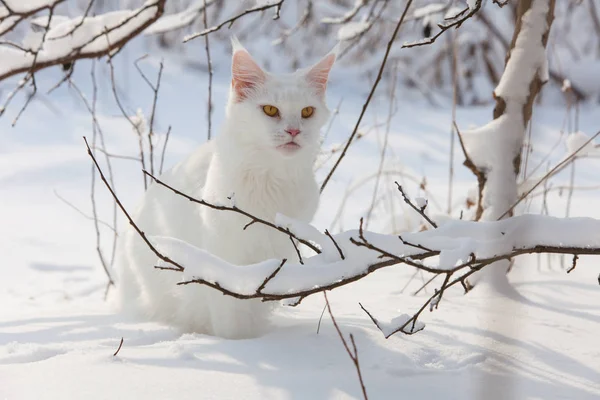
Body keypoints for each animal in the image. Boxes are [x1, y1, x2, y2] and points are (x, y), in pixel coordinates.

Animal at [115, 38, 336, 338]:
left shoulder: (276, 254)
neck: (271, 179)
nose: (294, 131)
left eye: (307, 112)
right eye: (270, 110)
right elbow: (230, 317)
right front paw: (237, 343)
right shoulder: (225, 258)